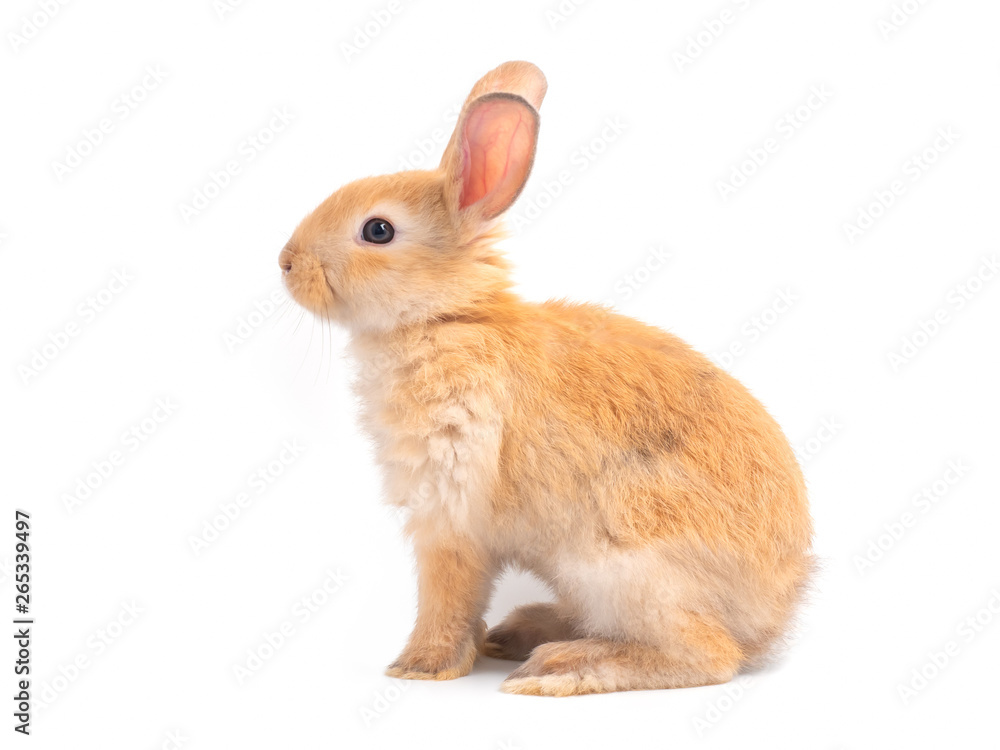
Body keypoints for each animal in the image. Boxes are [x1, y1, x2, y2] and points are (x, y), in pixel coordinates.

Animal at [276, 60, 812, 700]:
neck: (444, 318)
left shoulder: (451, 507)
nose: (285, 262)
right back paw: (520, 634)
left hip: (622, 564)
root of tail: (773, 614)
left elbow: (447, 595)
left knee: (708, 654)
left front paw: (418, 666)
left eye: (377, 230)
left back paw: (558, 666)